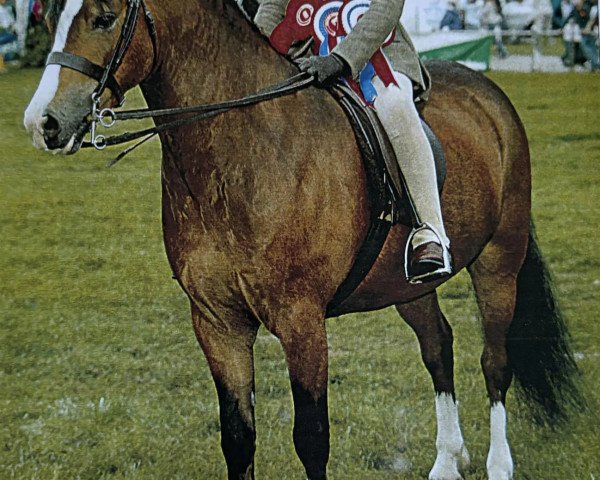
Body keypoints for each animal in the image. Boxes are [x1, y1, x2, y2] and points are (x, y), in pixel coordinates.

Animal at [24, 1, 580, 478]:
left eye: (104, 17)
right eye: (48, 15)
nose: (42, 123)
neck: (243, 153)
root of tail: (487, 91)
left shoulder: (302, 321)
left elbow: (311, 438)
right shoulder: (217, 323)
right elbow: (238, 437)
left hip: (499, 261)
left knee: (496, 362)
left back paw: (498, 464)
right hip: (406, 285)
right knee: (438, 348)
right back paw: (446, 461)